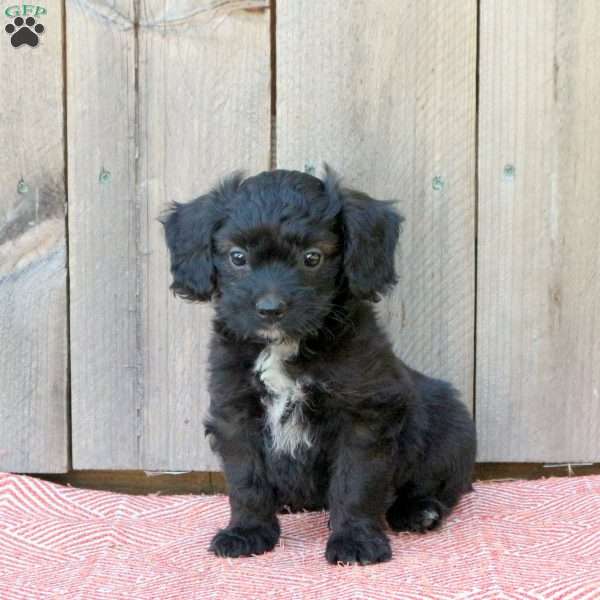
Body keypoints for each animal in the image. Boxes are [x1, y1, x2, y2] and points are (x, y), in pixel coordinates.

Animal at [162, 168, 476, 564]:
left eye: (312, 258)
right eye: (237, 257)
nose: (270, 309)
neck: (285, 345)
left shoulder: (364, 414)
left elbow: (356, 482)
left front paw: (355, 541)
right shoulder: (235, 410)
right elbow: (246, 480)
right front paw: (247, 532)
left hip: (451, 428)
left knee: (440, 485)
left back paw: (419, 510)